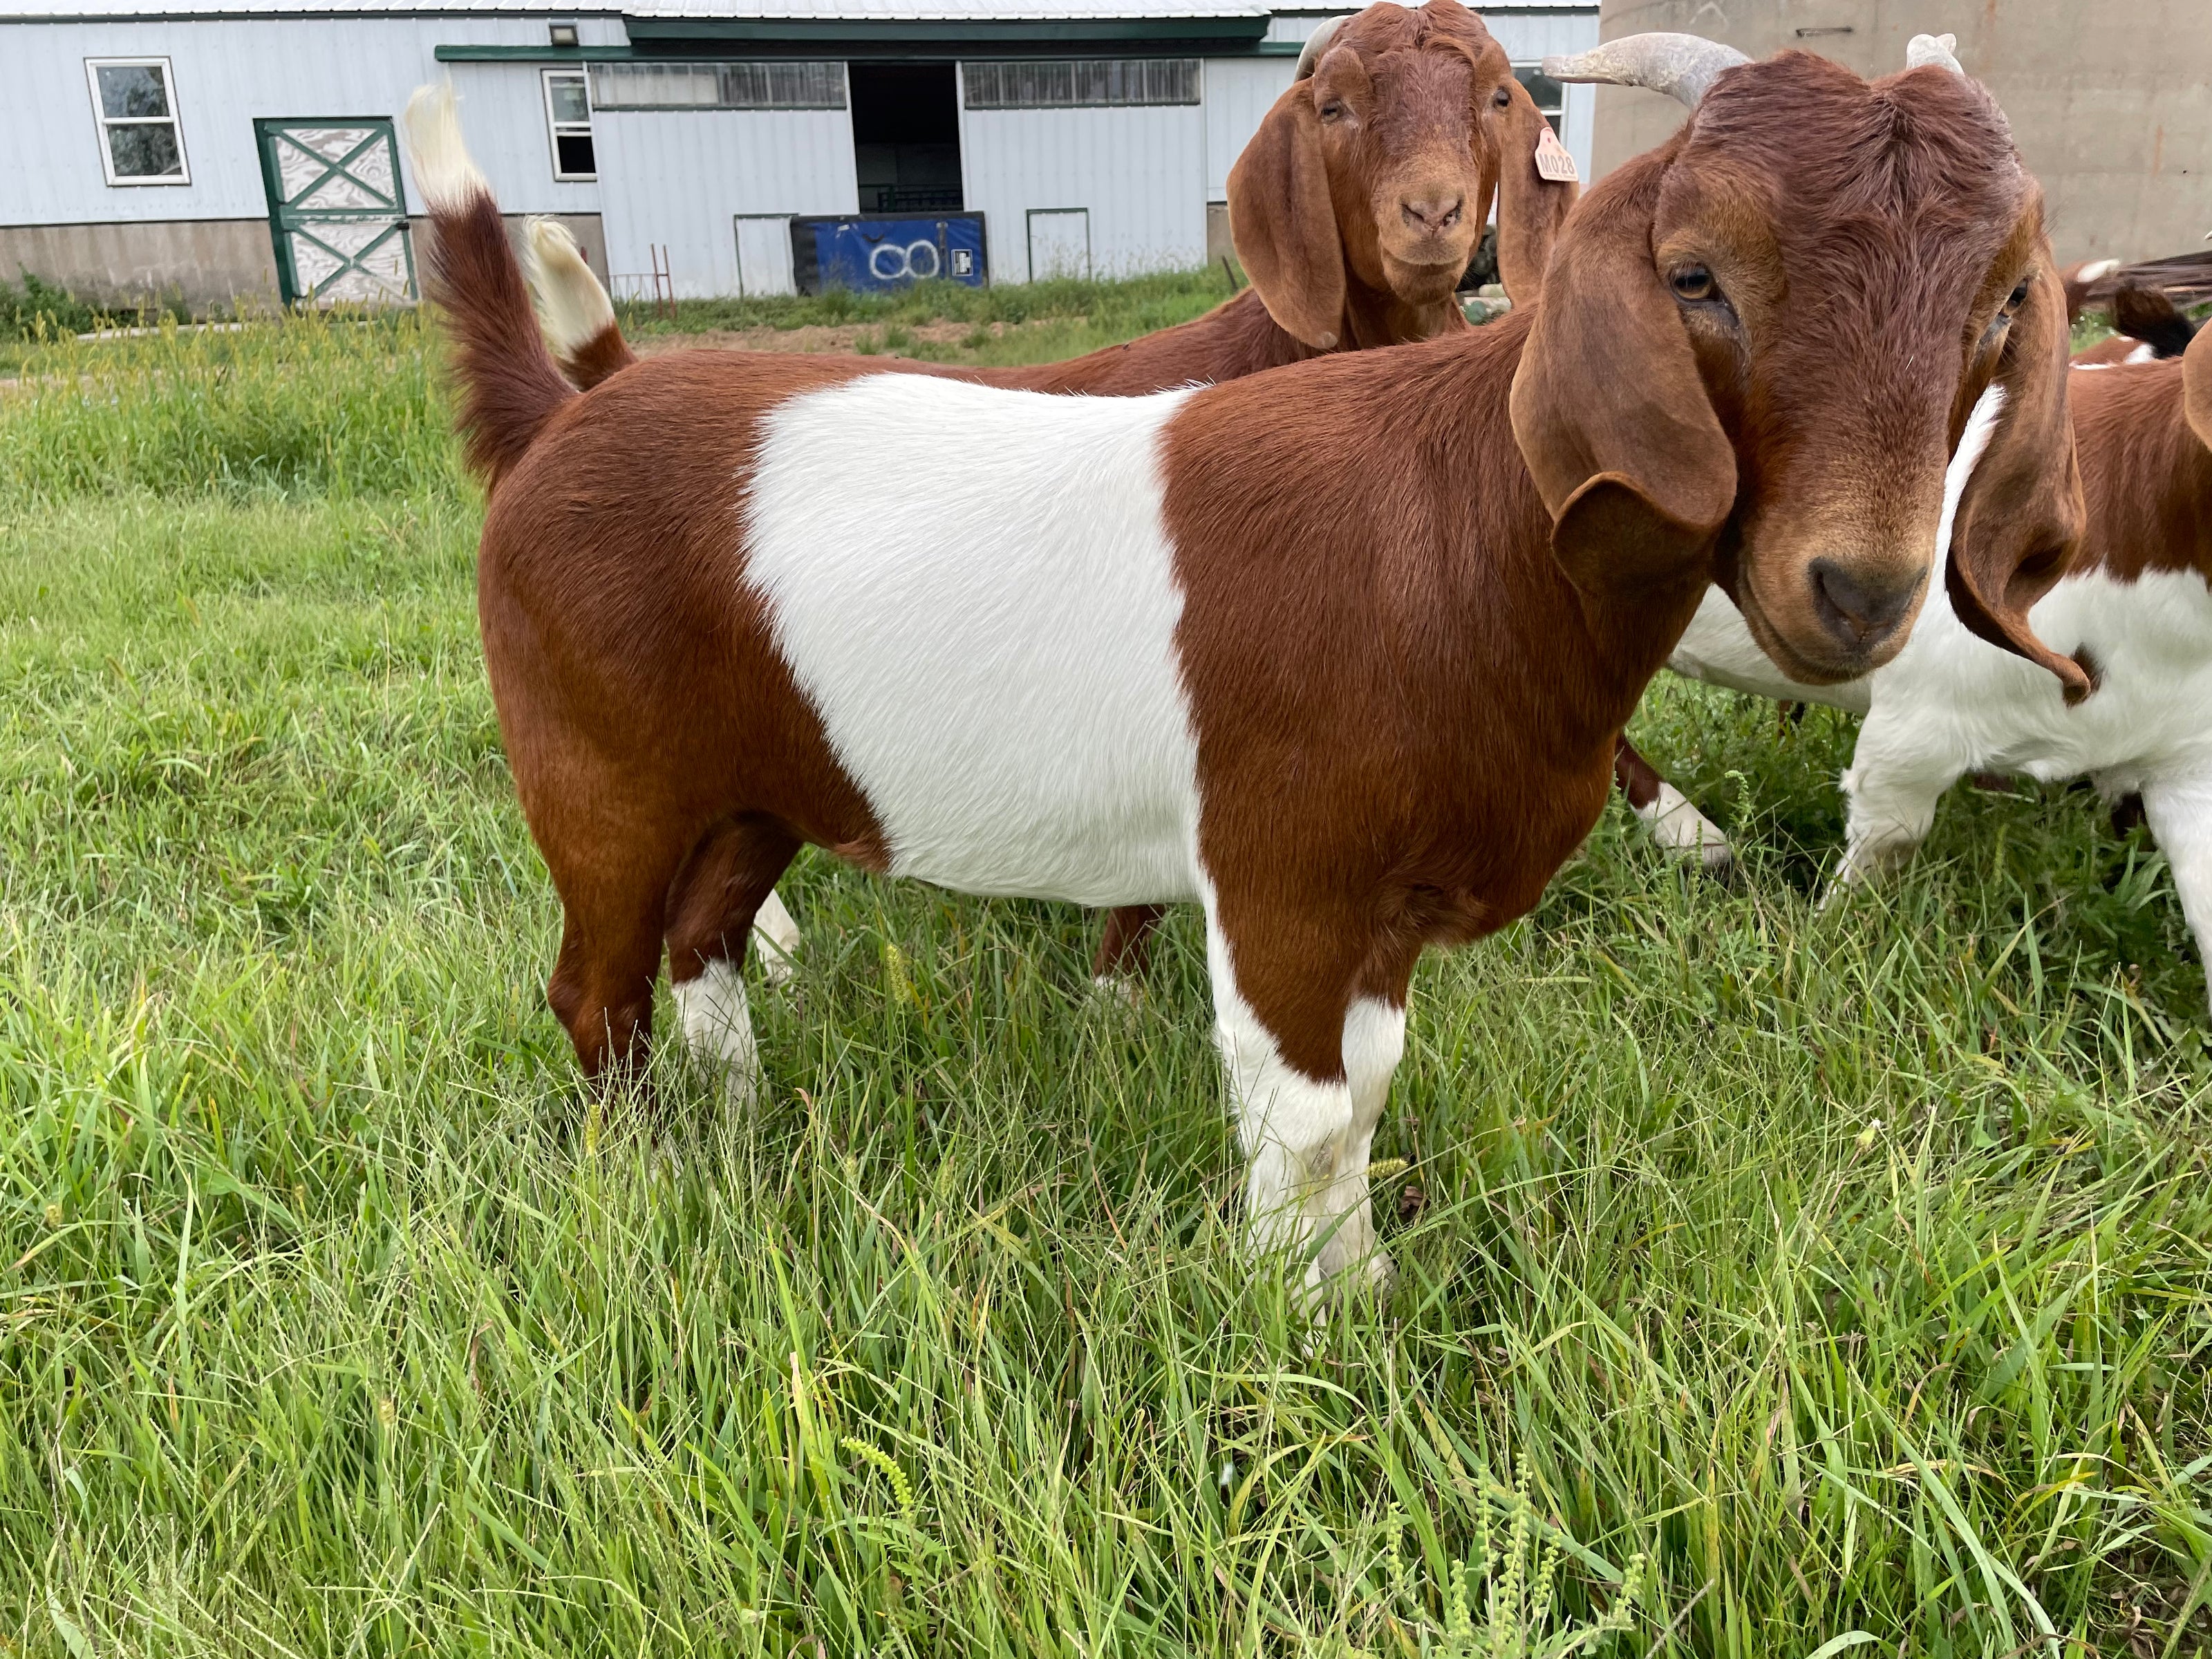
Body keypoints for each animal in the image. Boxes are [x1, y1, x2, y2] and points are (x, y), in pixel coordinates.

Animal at [403, 35, 2079, 1295]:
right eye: (1693, 277)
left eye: (2002, 302)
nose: (1857, 587)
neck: (1453, 527)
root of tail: (557, 424)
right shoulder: (1283, 877)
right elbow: (1307, 1113)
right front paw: (1302, 1332)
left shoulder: (1383, 907)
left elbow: (1369, 1091)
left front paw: (1360, 1288)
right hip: (597, 777)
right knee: (595, 987)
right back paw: (649, 1179)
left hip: (763, 779)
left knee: (704, 945)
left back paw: (741, 1130)